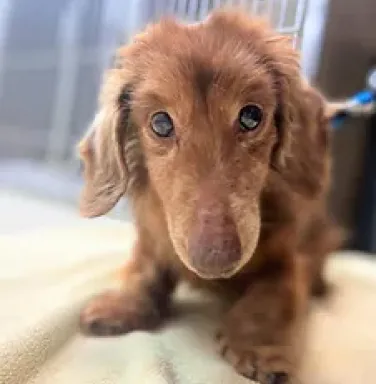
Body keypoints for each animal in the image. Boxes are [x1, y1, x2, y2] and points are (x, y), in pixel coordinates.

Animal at [78, 10, 340, 384]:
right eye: (160, 123)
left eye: (252, 116)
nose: (215, 259)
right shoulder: (154, 239)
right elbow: (144, 268)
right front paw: (124, 303)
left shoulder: (291, 253)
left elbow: (273, 293)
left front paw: (260, 346)